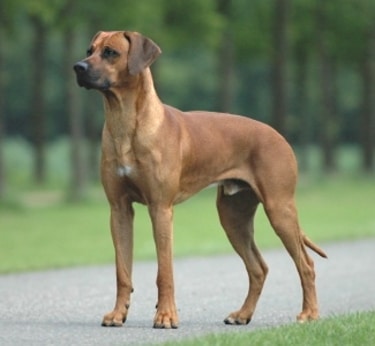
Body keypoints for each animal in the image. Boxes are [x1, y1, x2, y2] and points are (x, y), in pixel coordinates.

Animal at [73, 31, 326, 330]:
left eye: (111, 52)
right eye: (89, 50)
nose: (78, 67)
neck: (124, 123)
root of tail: (280, 136)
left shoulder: (161, 209)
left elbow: (165, 271)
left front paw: (166, 316)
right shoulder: (119, 210)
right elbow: (122, 271)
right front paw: (117, 314)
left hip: (279, 208)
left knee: (305, 264)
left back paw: (309, 313)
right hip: (232, 217)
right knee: (258, 268)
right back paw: (242, 314)